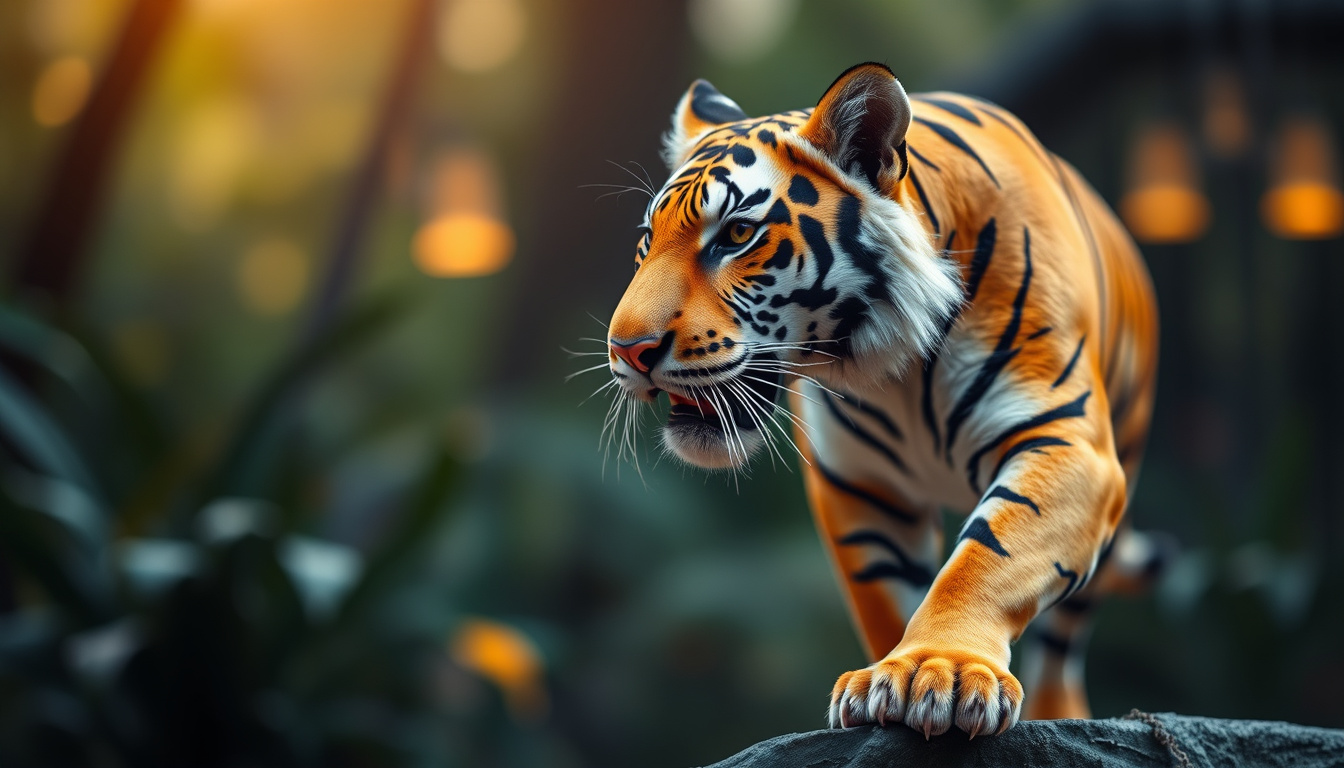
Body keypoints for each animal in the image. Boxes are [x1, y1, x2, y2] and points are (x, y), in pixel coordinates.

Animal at [602, 62, 1162, 738]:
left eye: (737, 234)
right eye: (647, 239)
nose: (627, 349)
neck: (898, 371)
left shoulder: (1067, 443)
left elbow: (986, 557)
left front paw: (944, 670)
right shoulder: (862, 485)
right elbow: (888, 596)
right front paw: (891, 680)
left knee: (1061, 649)